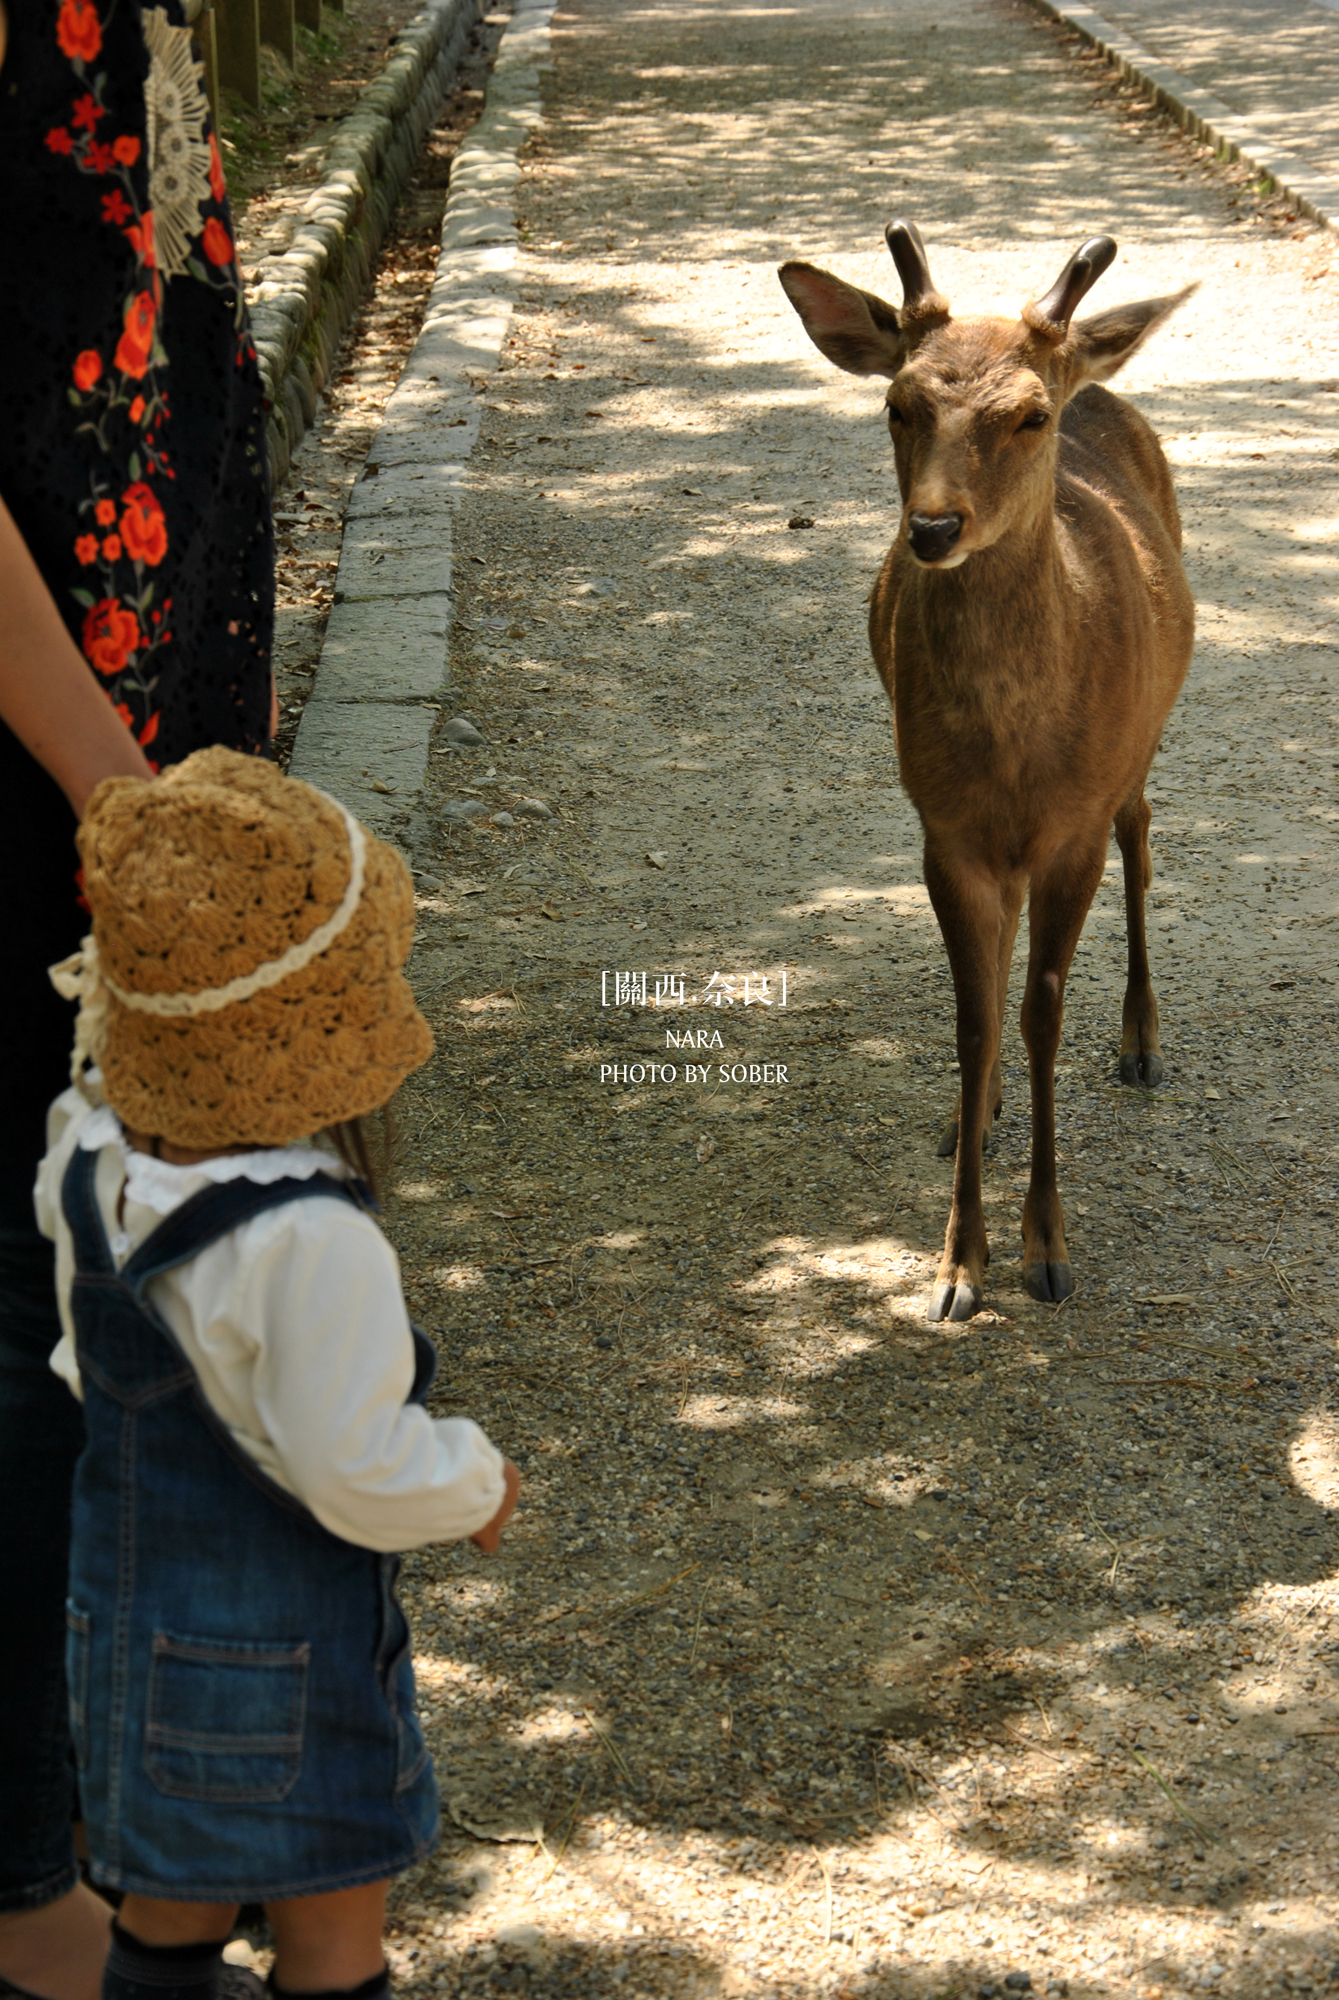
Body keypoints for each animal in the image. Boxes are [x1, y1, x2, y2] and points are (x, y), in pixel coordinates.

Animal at [783, 227, 1199, 1320]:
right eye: (898, 404)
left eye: (1027, 415)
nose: (933, 528)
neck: (1015, 751)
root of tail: (1100, 375)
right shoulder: (945, 828)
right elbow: (975, 1015)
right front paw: (955, 1262)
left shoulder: (1071, 825)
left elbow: (1042, 1012)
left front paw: (1045, 1249)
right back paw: (976, 1111)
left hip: (1140, 741)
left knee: (1144, 836)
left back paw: (1141, 1042)